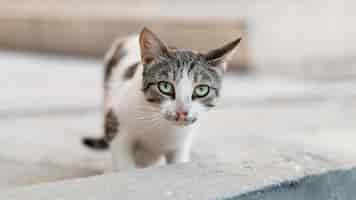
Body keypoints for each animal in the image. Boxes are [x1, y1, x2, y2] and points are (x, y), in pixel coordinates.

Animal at [82, 27, 241, 172]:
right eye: (165, 86)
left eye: (201, 90)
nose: (182, 112)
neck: (162, 126)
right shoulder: (116, 123)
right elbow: (124, 164)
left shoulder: (181, 144)